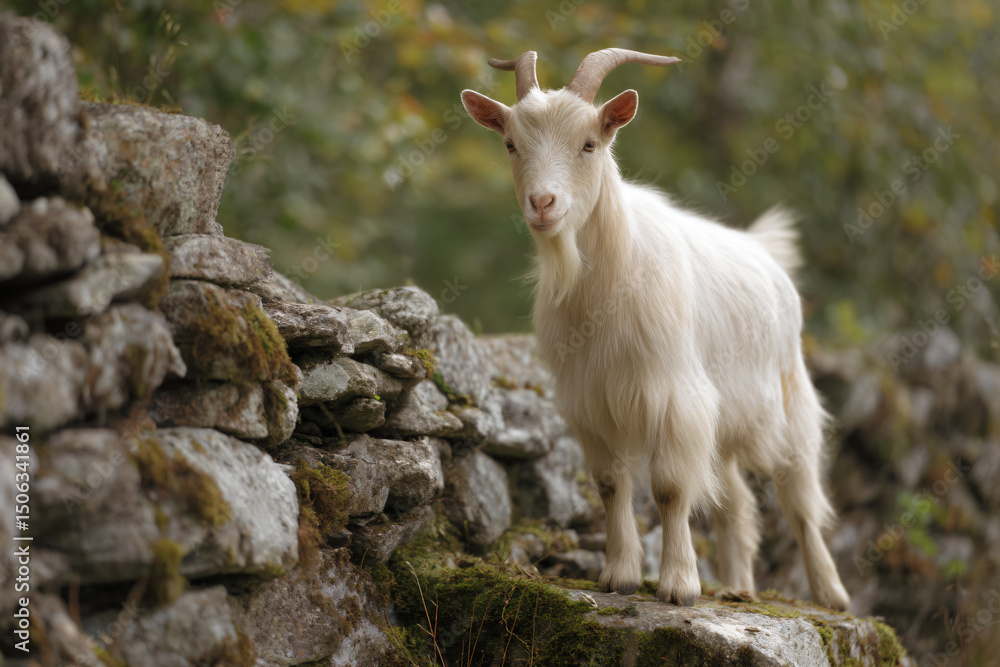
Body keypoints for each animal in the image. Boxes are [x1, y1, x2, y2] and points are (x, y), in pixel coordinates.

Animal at [461, 49, 850, 610]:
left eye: (590, 143)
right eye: (511, 143)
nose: (542, 203)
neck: (607, 278)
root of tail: (763, 252)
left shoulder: (674, 395)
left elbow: (669, 488)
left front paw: (679, 585)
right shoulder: (591, 401)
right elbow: (610, 484)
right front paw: (619, 576)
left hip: (789, 401)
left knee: (799, 498)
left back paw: (830, 593)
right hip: (725, 423)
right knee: (736, 503)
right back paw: (738, 587)